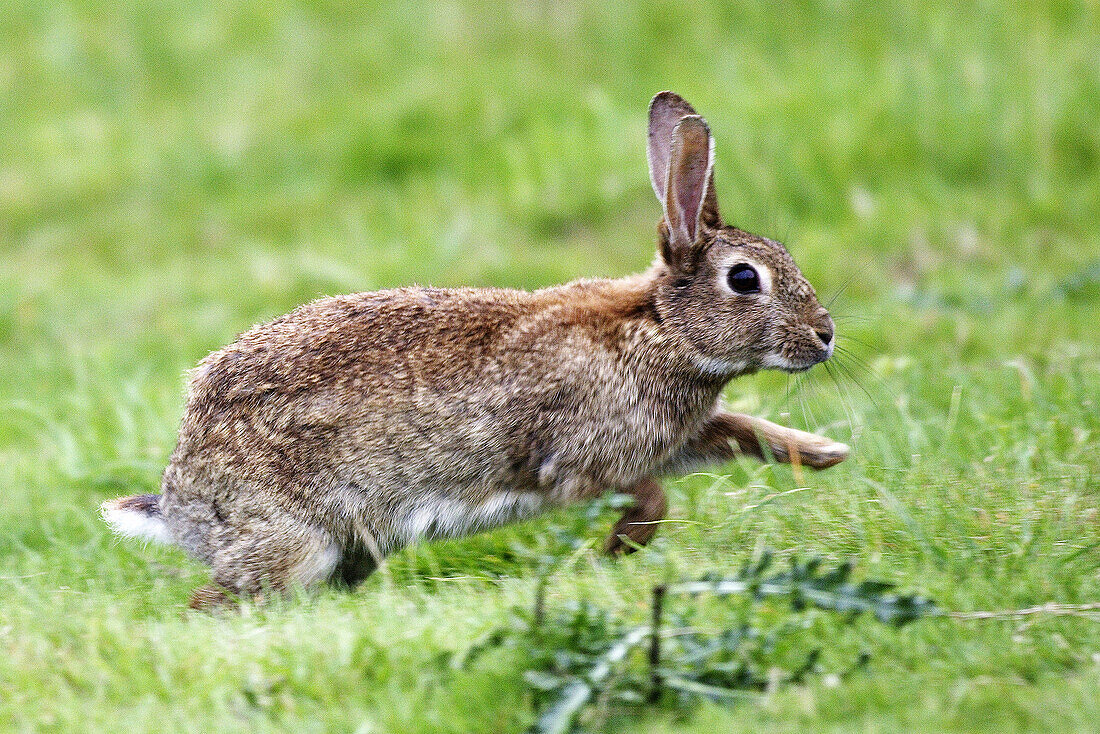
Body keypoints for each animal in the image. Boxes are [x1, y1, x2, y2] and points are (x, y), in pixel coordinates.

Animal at [103, 91, 844, 607]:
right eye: (745, 279)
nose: (825, 334)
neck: (659, 327)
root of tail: (180, 503)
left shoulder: (677, 436)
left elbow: (741, 429)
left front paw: (824, 453)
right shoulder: (584, 458)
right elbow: (649, 498)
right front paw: (616, 553)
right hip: (292, 540)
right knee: (220, 597)